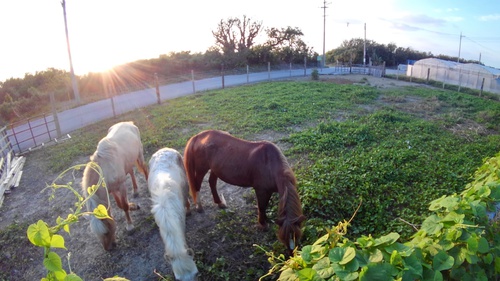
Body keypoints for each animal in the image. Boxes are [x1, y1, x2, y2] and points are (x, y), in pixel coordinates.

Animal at [81, 121, 148, 249]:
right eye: (96, 234)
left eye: (106, 232)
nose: (108, 249)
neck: (105, 169)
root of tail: (128, 122)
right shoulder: (111, 190)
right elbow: (120, 204)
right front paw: (134, 206)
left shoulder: (121, 186)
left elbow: (124, 205)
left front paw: (130, 226)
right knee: (131, 172)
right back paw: (136, 191)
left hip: (139, 155)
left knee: (144, 168)